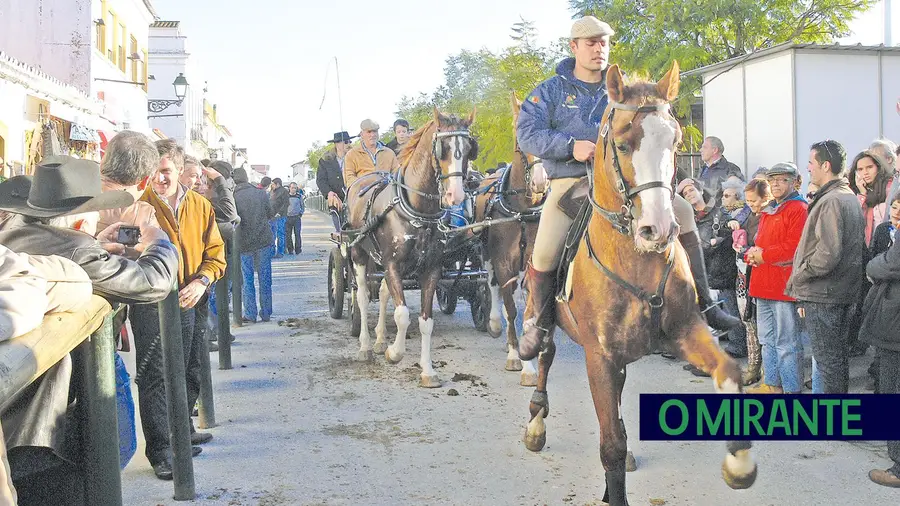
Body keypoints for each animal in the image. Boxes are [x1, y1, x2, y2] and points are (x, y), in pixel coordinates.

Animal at [344, 106, 478, 388]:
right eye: (442, 147)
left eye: (469, 148)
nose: (457, 195)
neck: (418, 210)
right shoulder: (393, 265)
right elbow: (402, 314)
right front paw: (394, 352)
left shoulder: (431, 269)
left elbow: (425, 321)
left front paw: (427, 371)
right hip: (358, 253)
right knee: (362, 296)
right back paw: (366, 346)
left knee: (384, 292)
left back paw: (380, 338)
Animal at [524, 61, 756, 504]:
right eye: (623, 143)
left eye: (675, 141)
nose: (659, 229)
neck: (635, 262)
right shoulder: (599, 356)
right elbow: (611, 445)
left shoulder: (685, 330)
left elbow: (729, 370)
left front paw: (739, 462)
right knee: (543, 354)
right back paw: (535, 421)